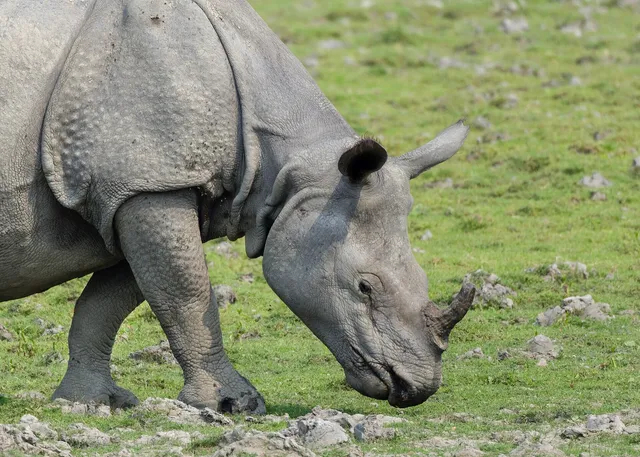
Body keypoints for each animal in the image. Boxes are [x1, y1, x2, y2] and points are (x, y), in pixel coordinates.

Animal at [0, 0, 475, 414]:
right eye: (364, 287)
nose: (417, 387)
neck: (289, 167)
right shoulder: (148, 181)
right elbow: (186, 294)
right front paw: (232, 405)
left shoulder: (145, 187)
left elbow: (109, 302)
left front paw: (92, 403)